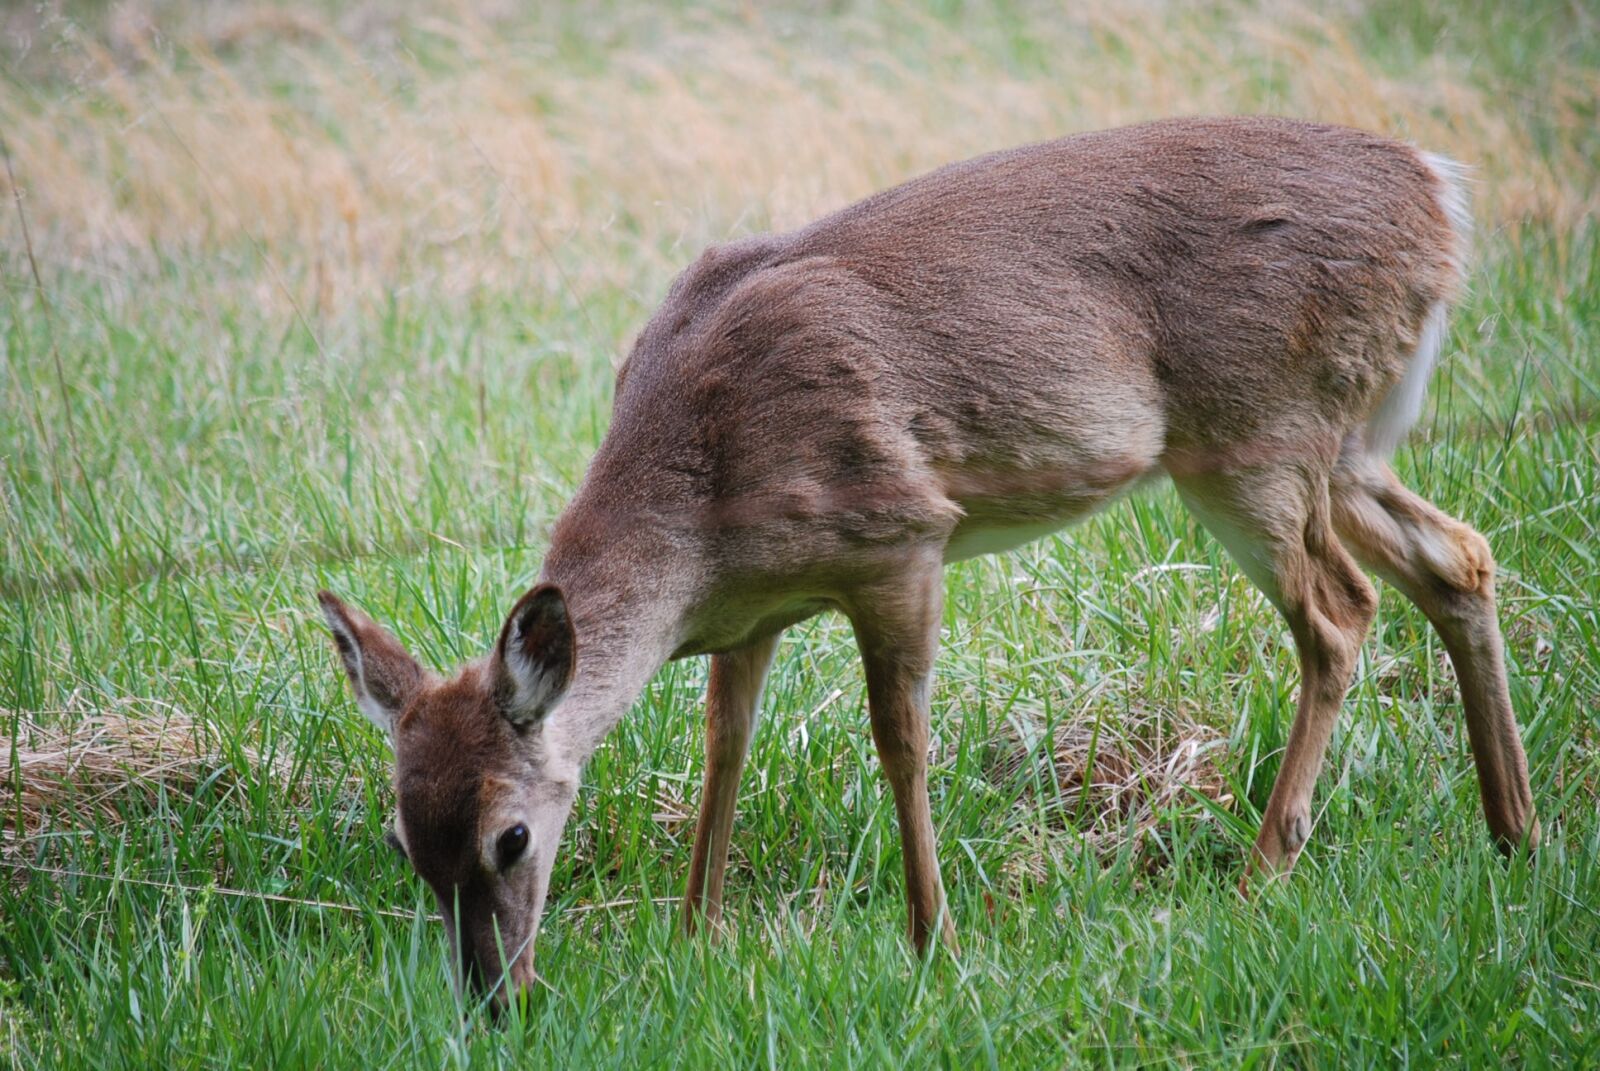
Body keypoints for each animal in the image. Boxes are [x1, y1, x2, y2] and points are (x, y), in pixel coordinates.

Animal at [318, 116, 1539, 1010]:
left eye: (511, 836)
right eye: (403, 840)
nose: (492, 997)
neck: (704, 507)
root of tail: (1440, 192)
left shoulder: (900, 535)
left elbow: (899, 740)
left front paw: (933, 941)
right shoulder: (752, 614)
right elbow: (725, 744)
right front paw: (696, 933)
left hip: (1257, 430)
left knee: (1342, 612)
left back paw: (1261, 875)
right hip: (1343, 441)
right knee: (1459, 556)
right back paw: (1512, 830)